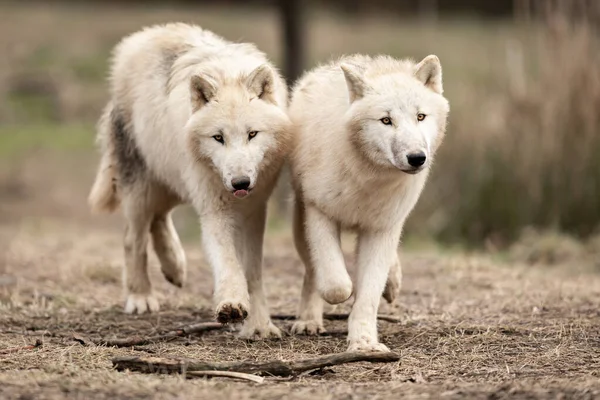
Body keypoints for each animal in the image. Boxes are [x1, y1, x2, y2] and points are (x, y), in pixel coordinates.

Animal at [88, 23, 292, 340]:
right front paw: (232, 305)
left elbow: (253, 271)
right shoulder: (214, 210)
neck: (226, 72)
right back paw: (141, 297)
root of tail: (141, 36)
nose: (240, 183)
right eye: (218, 137)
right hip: (144, 190)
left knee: (159, 218)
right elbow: (228, 261)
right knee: (133, 238)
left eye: (252, 134)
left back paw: (174, 267)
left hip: (175, 183)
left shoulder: (256, 210)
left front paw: (259, 324)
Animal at [288, 54, 448, 352]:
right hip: (301, 224)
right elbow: (337, 285)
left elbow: (369, 295)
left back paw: (392, 283)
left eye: (420, 116)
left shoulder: (382, 228)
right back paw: (308, 321)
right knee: (312, 271)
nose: (416, 158)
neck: (369, 178)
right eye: (386, 120)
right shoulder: (320, 213)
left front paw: (363, 342)